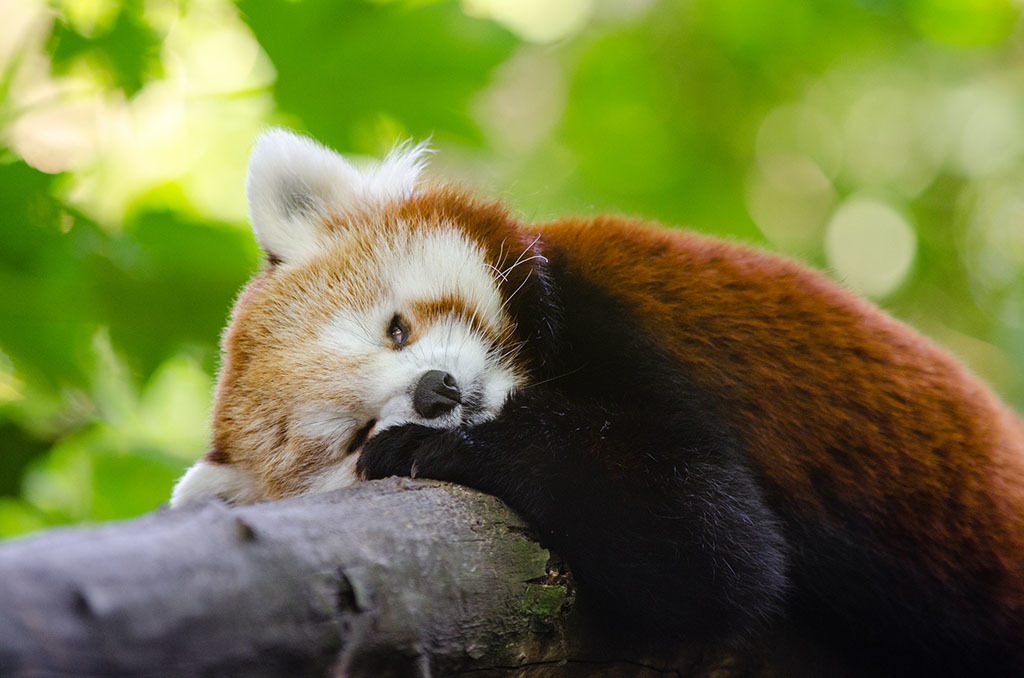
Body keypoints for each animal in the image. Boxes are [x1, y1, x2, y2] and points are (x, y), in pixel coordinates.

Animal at [171, 128, 1024, 675]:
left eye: (397, 329)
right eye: (351, 436)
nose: (436, 393)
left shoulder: (614, 322)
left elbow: (712, 549)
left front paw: (439, 447)